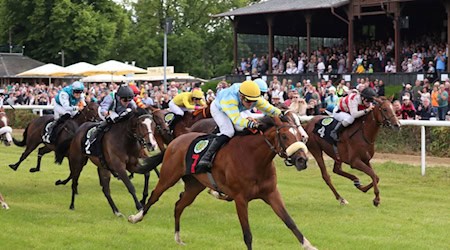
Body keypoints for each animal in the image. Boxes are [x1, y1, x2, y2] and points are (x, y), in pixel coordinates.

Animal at [127, 115, 316, 250]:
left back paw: (178, 238)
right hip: (169, 176)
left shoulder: (271, 194)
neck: (254, 159)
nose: (302, 160)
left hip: (194, 186)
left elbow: (289, 221)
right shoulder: (240, 199)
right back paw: (136, 217)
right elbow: (247, 234)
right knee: (154, 196)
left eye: (299, 136)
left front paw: (308, 245)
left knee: (179, 205)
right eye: (284, 136)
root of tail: (176, 140)